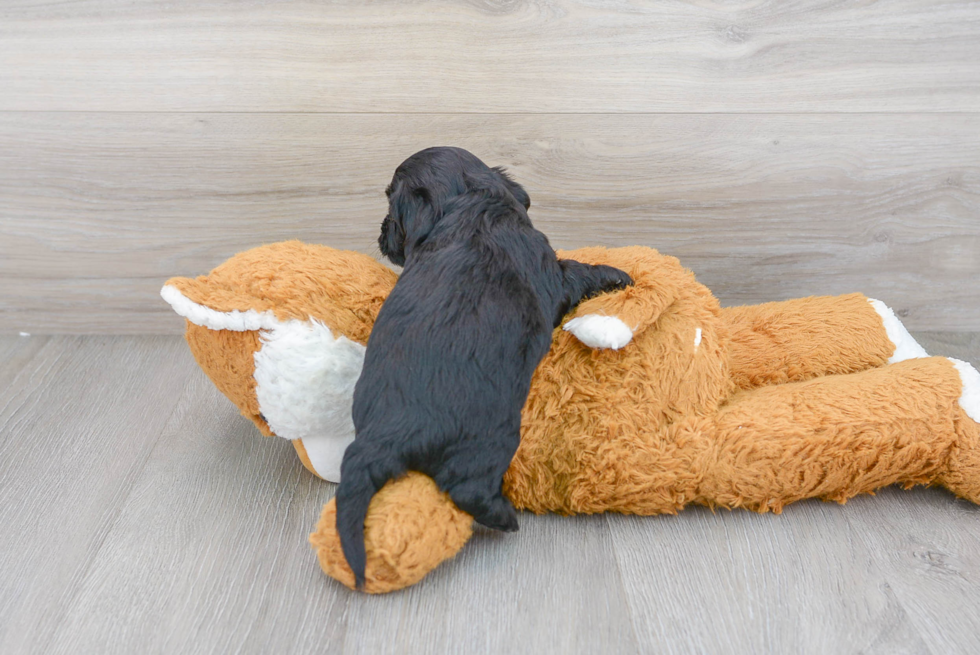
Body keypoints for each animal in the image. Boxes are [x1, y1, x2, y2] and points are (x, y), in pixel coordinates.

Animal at [334, 149, 632, 588]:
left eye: (391, 205)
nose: (382, 232)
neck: (472, 203)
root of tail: (385, 434)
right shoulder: (552, 272)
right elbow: (577, 269)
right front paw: (617, 274)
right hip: (492, 439)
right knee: (467, 487)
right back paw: (505, 517)